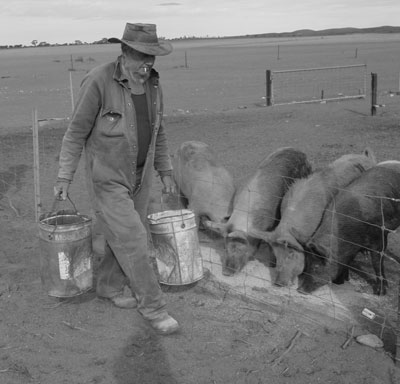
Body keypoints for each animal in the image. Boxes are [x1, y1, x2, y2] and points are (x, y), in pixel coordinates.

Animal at [203, 147, 312, 276]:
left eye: (242, 248)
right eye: (225, 247)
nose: (226, 272)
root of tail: (299, 151)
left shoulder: (271, 222)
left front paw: (271, 265)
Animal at [298, 166, 400, 296]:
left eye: (316, 267)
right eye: (306, 265)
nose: (300, 290)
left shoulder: (378, 236)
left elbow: (377, 262)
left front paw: (380, 292)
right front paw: (341, 281)